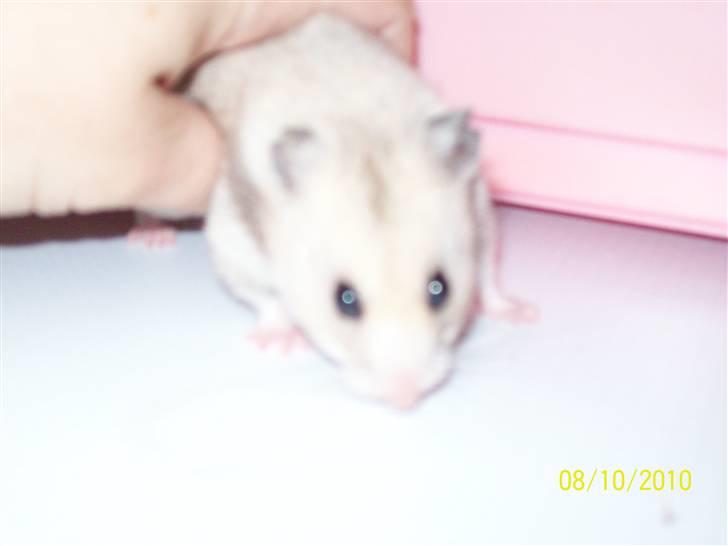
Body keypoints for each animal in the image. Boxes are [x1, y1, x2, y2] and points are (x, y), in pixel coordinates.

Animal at [188, 13, 527, 409]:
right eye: (345, 301)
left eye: (440, 289)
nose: (406, 400)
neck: (361, 130)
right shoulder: (233, 240)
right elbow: (268, 298)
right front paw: (277, 344)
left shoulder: (482, 216)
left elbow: (488, 276)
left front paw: (519, 313)